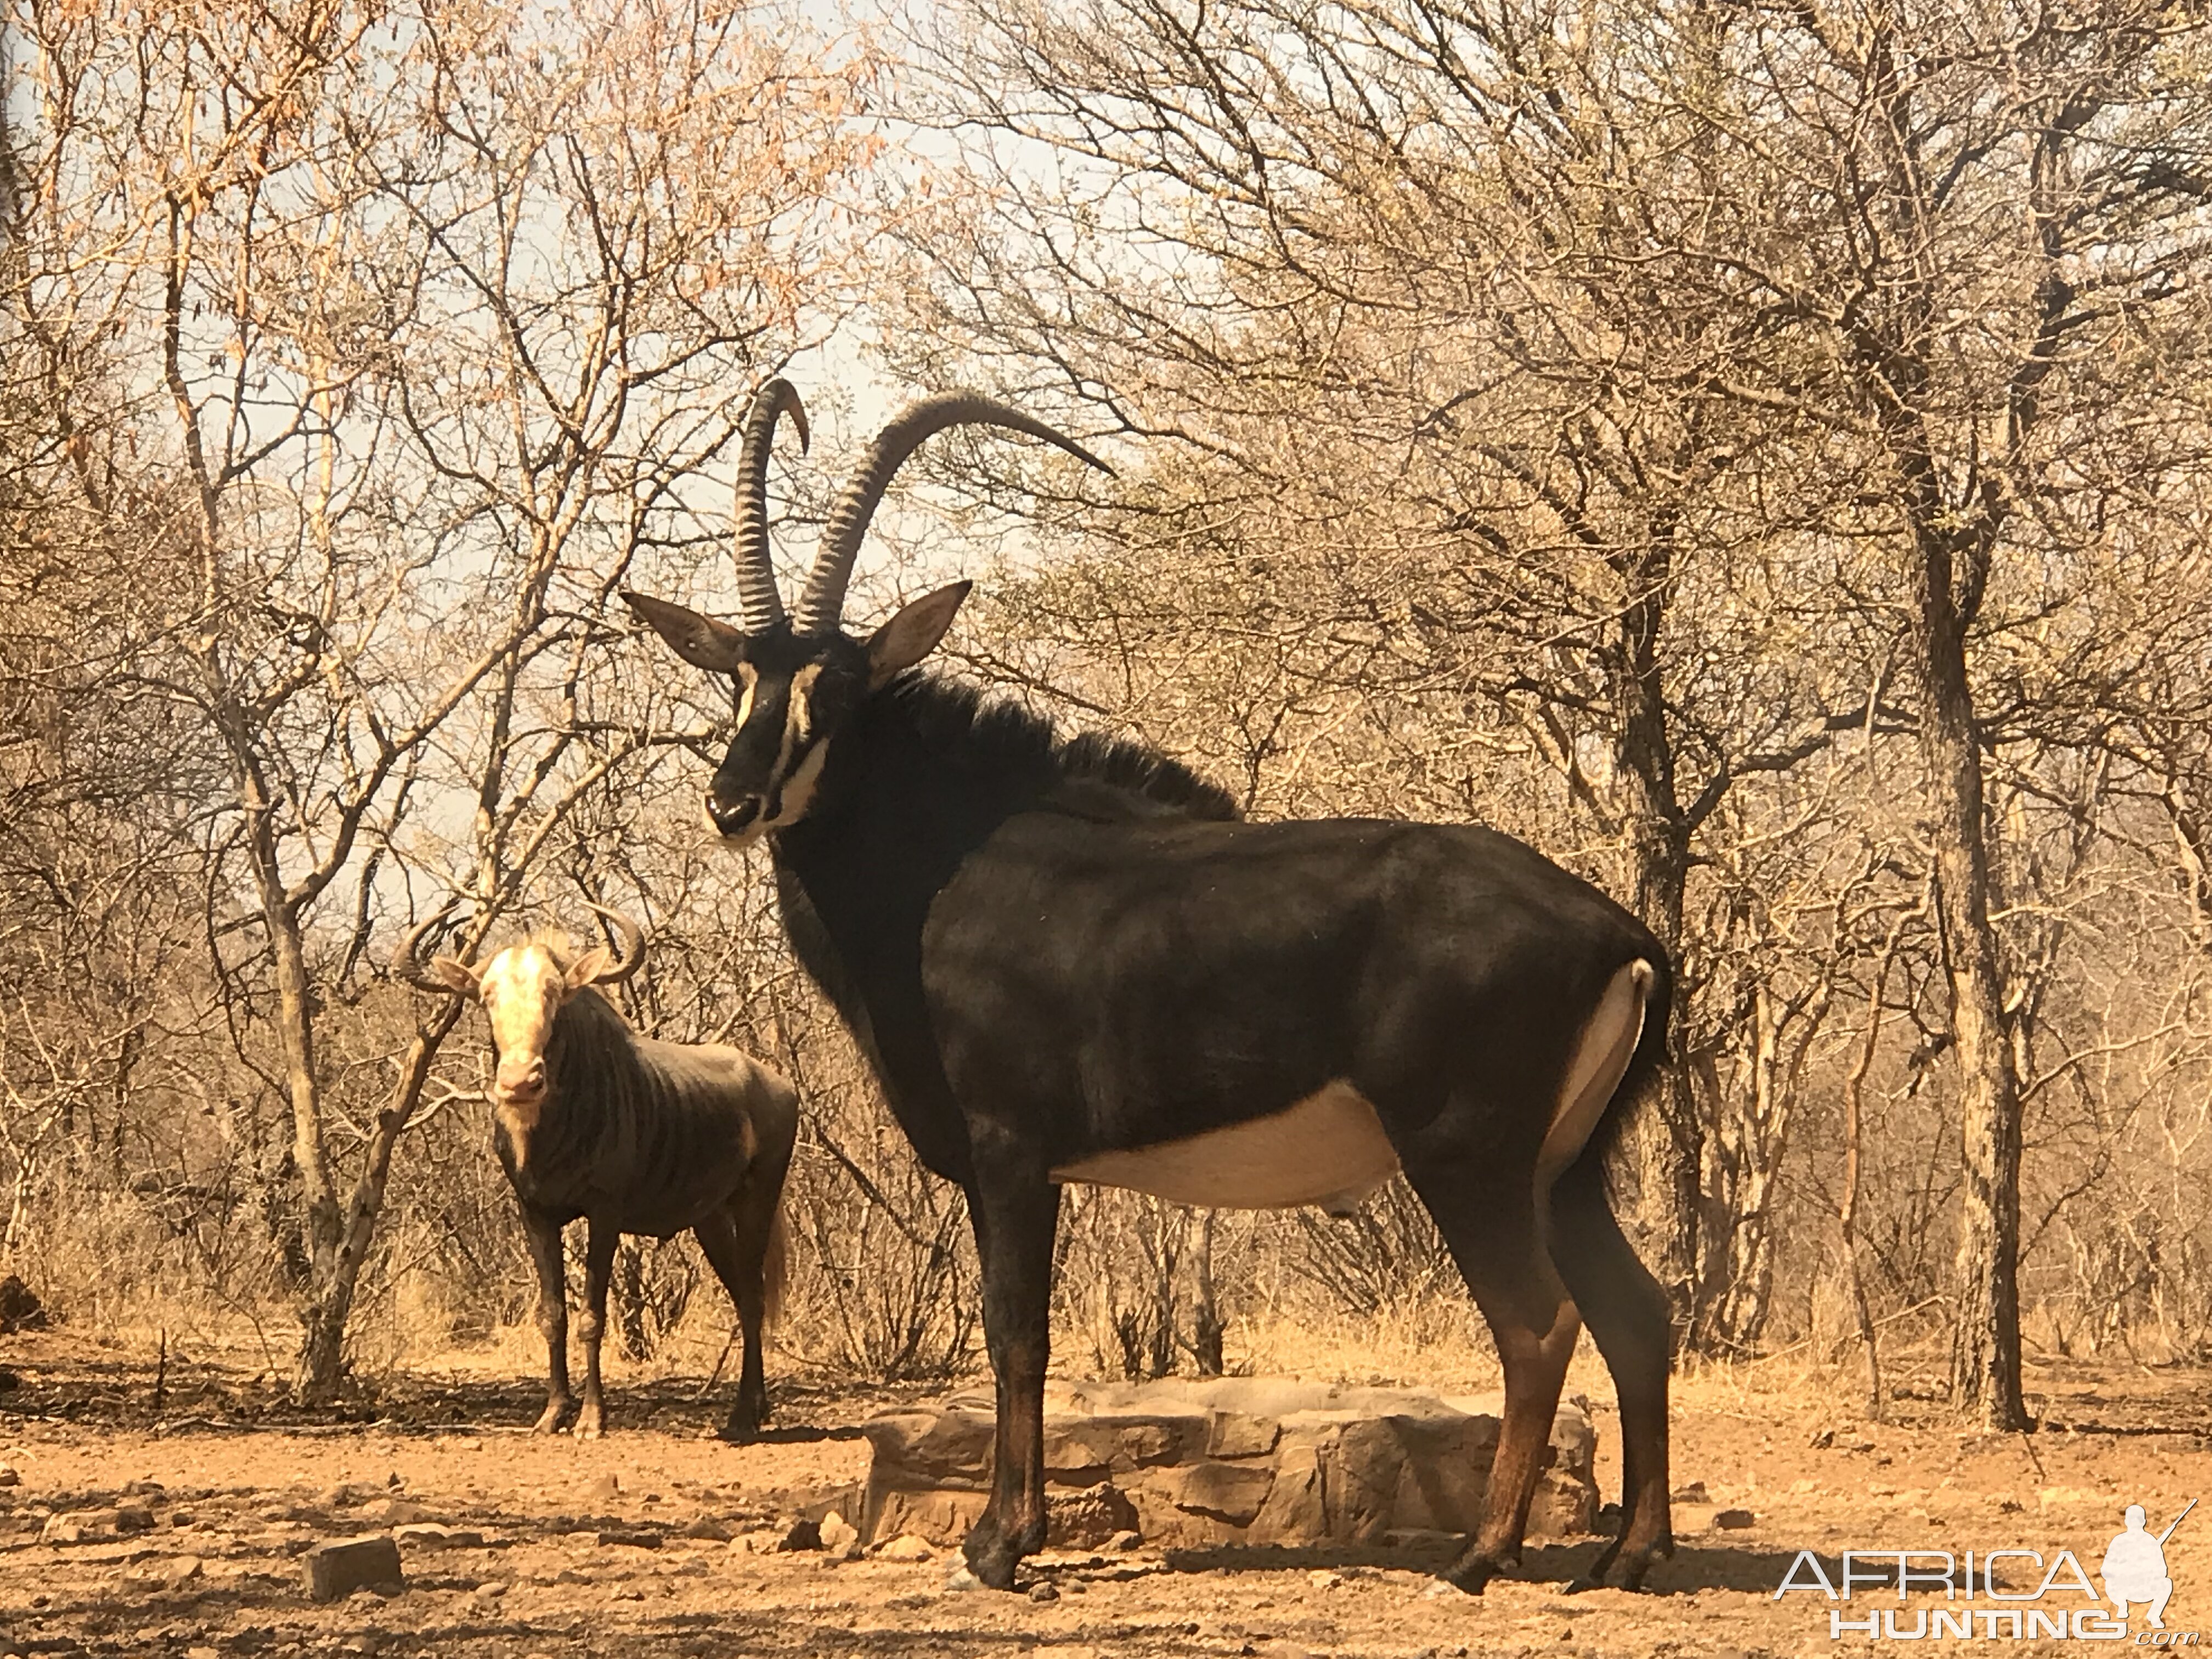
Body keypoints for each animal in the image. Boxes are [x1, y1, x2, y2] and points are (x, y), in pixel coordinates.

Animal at [398, 911, 796, 1442]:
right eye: (487, 994)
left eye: (554, 991)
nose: (520, 1081)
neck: (550, 1131)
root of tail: (779, 1085)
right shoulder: (536, 1214)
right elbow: (553, 1316)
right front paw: (552, 1414)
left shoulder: (604, 1215)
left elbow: (591, 1315)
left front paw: (590, 1419)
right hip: (710, 1221)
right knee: (743, 1298)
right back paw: (756, 1409)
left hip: (757, 1204)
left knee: (753, 1300)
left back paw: (741, 1419)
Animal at [624, 382, 1672, 1601]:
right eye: (740, 675)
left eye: (837, 686)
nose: (733, 801)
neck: (951, 858)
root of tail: (1617, 929)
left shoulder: (1010, 1152)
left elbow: (1016, 1333)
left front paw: (1001, 1543)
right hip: (1567, 1168)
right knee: (1637, 1313)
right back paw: (1630, 1552)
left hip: (1469, 1159)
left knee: (1539, 1325)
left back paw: (1481, 1554)